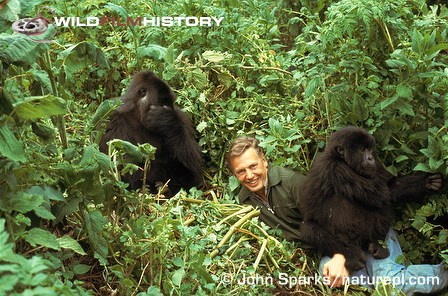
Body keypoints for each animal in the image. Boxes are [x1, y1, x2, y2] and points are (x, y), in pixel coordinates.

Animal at [300, 126, 442, 272]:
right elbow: (379, 194)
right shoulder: (334, 168)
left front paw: (426, 182)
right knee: (309, 229)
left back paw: (375, 245)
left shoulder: (376, 165)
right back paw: (352, 255)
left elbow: (389, 188)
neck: (341, 159)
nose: (370, 157)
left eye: (369, 149)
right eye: (362, 149)